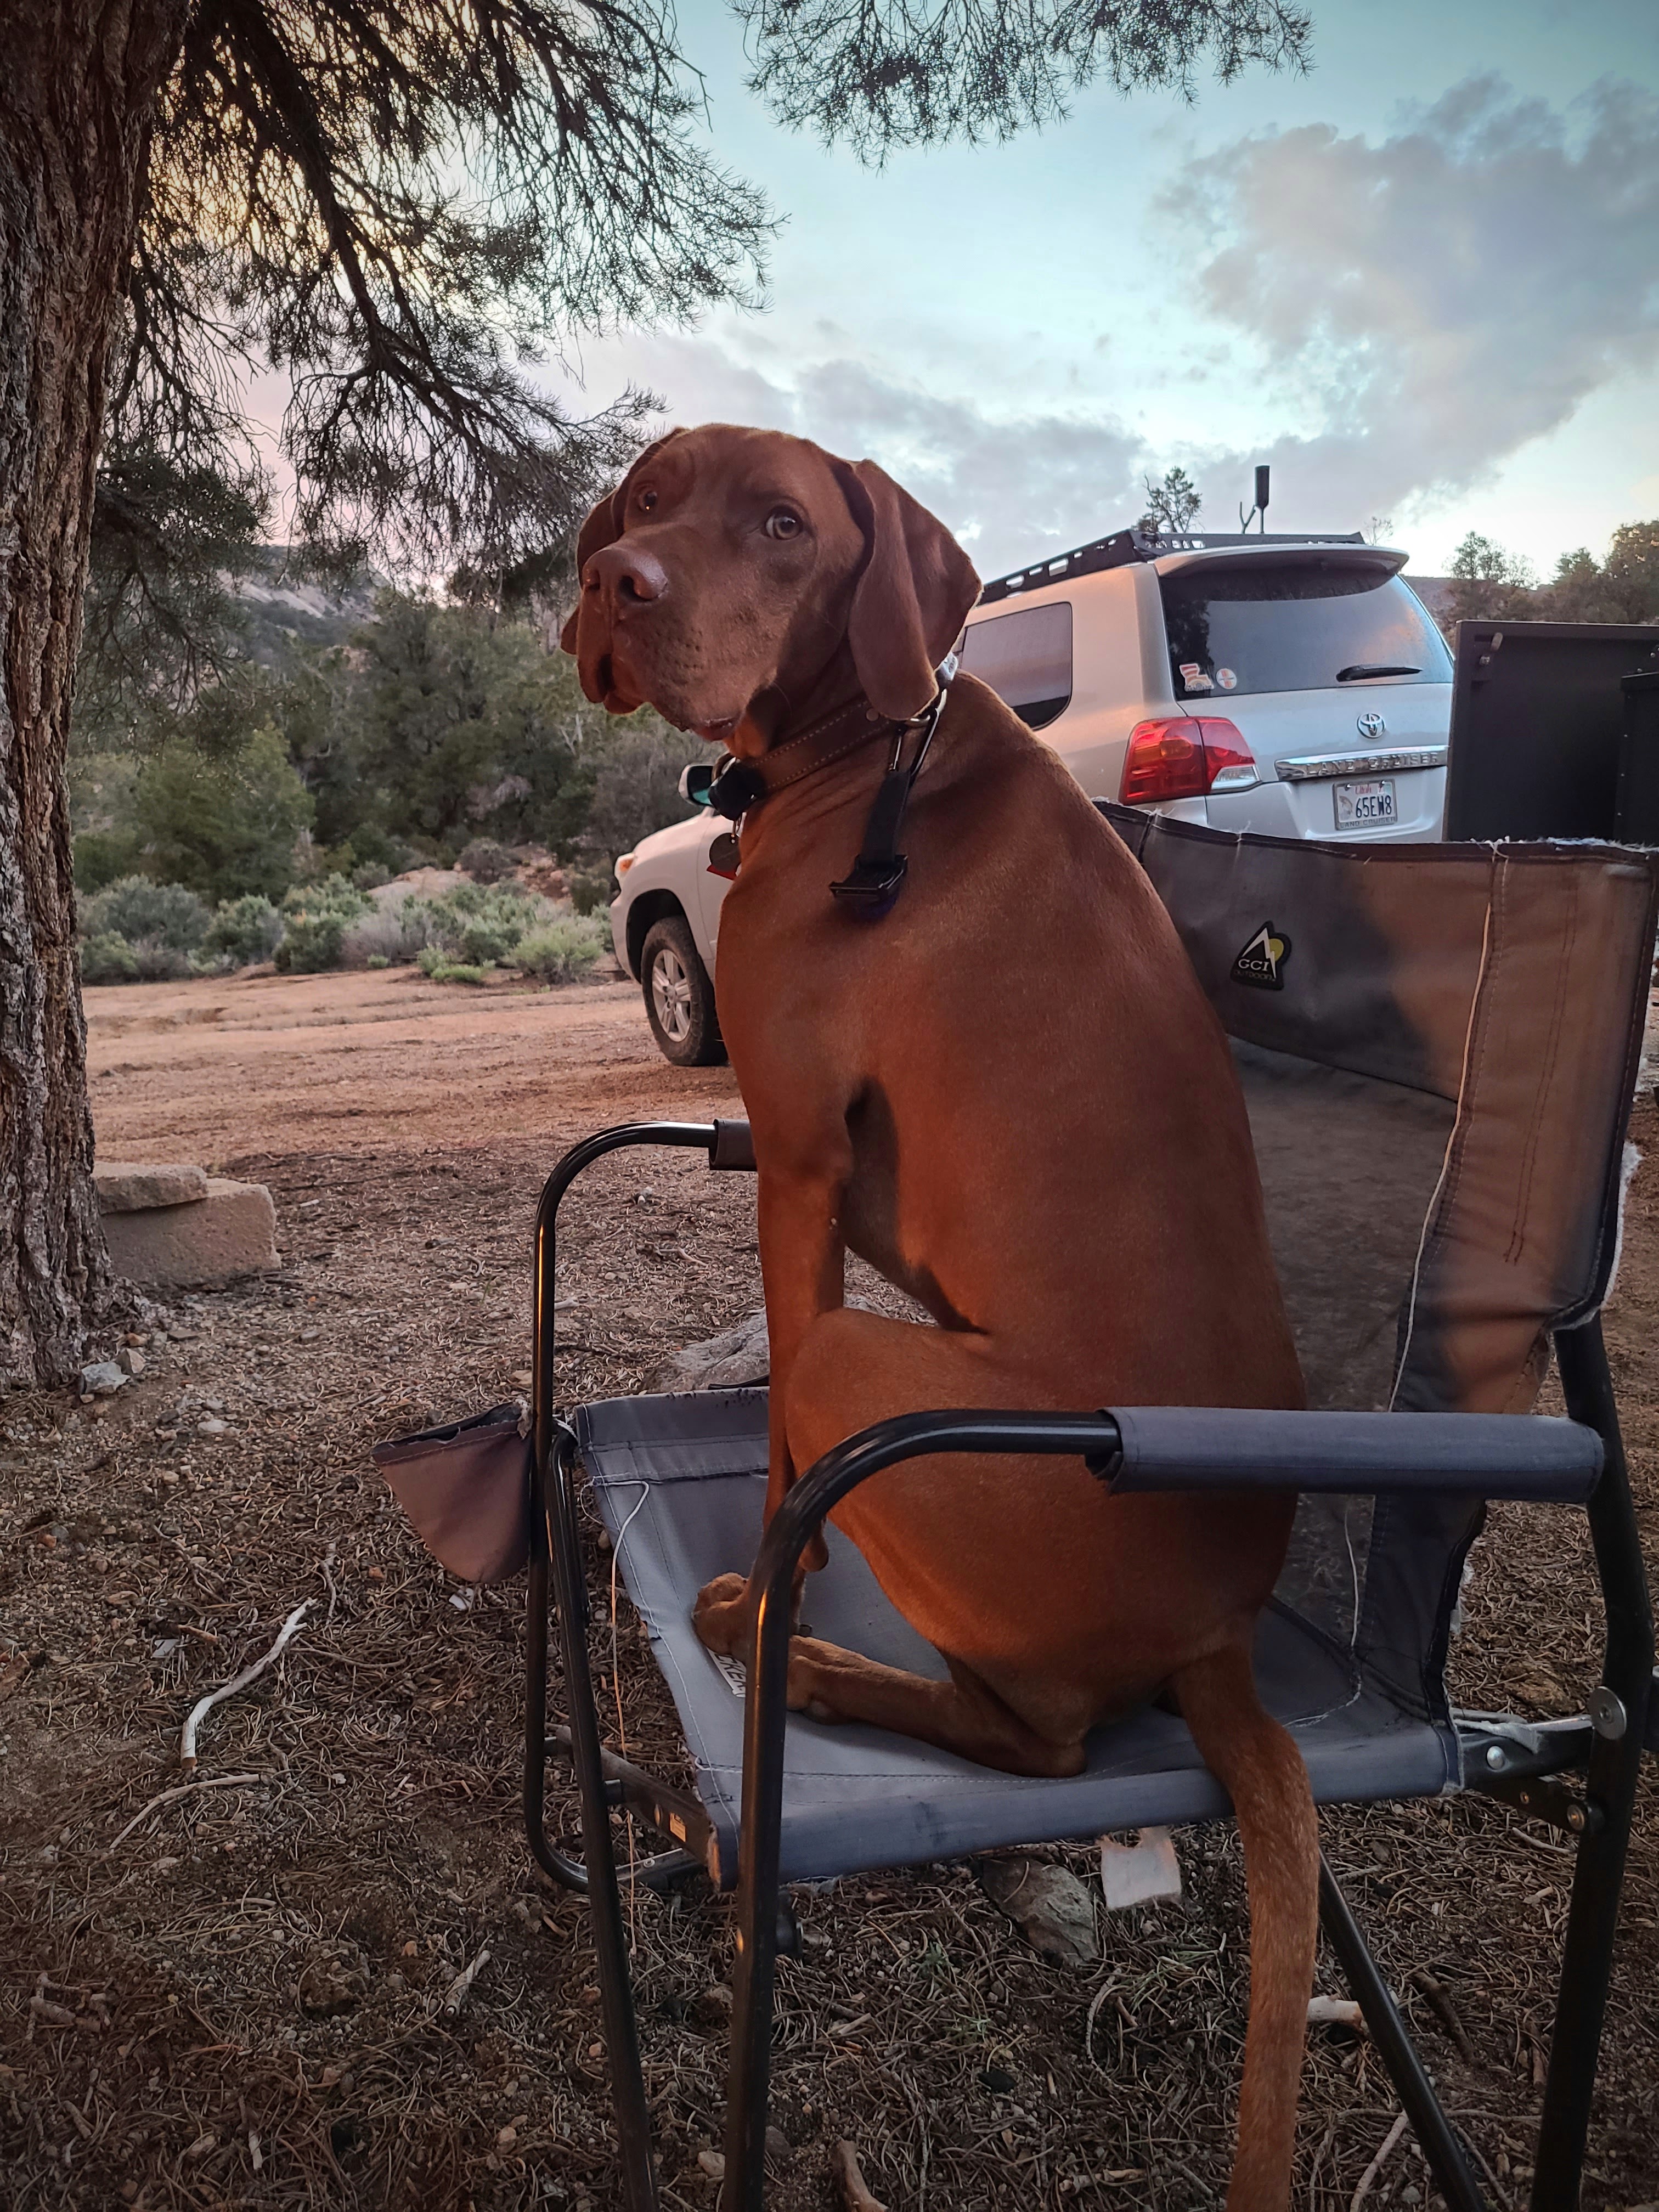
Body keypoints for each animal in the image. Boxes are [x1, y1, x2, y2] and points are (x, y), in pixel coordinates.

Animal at [571, 422, 1327, 2203]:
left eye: (784, 524)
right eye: (650, 498)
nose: (614, 582)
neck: (875, 757)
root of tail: (1225, 1631)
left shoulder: (792, 1167)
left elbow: (779, 1453)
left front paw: (764, 1590)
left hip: (878, 1382)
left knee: (1039, 1743)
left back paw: (806, 1662)